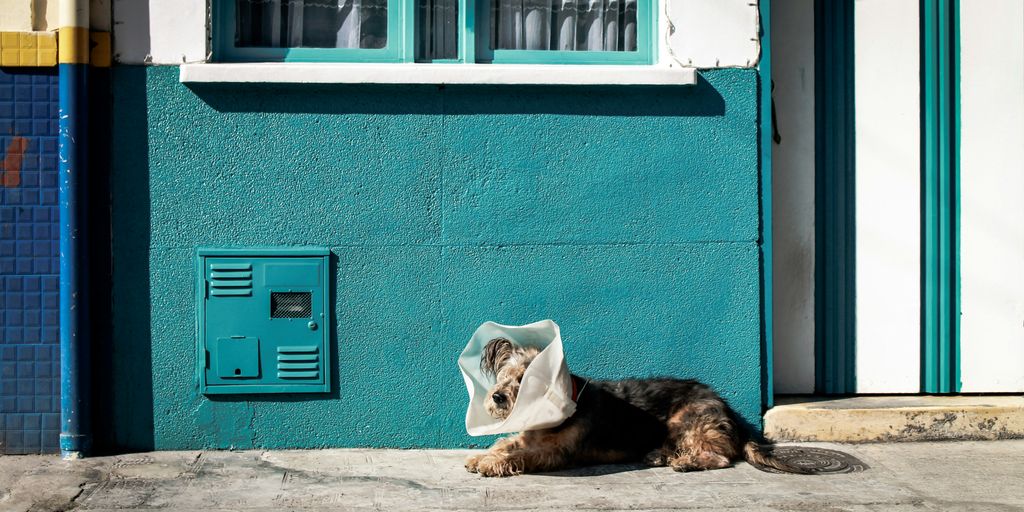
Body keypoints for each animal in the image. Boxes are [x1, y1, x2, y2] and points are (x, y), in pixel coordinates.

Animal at [464, 337, 798, 477]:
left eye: (525, 380)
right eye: (505, 375)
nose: (497, 396)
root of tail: (728, 410)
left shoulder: (556, 452)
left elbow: (521, 454)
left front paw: (490, 464)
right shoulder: (528, 436)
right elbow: (506, 442)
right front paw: (482, 457)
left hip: (685, 418)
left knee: (720, 457)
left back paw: (685, 462)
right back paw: (659, 456)